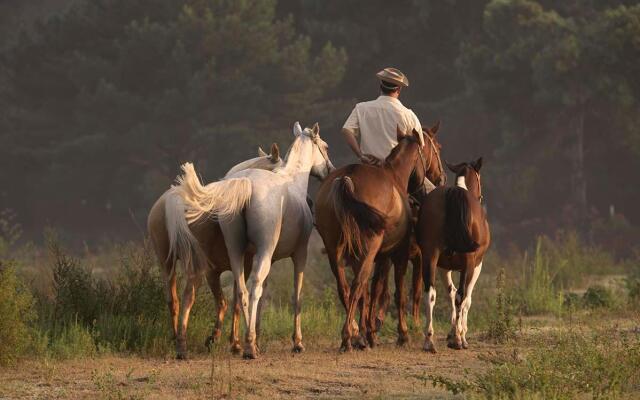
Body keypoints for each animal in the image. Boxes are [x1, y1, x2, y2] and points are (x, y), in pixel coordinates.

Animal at [149, 144, 282, 360]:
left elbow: (224, 302)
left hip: (166, 264)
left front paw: (216, 339)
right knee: (188, 297)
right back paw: (182, 348)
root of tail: (174, 201)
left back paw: (175, 338)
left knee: (173, 299)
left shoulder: (215, 271)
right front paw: (234, 344)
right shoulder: (237, 266)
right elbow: (235, 301)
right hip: (195, 267)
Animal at [175, 122, 336, 360]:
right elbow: (296, 295)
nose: (330, 170)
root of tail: (246, 184)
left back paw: (242, 343)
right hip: (262, 253)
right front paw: (297, 342)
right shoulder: (299, 254)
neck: (292, 180)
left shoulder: (265, 258)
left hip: (235, 253)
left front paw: (257, 336)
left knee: (240, 291)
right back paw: (249, 346)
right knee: (253, 289)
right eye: (325, 146)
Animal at [418, 158, 492, 352]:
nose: (481, 197)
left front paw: (453, 331)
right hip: (468, 262)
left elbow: (449, 294)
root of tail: (453, 193)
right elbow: (466, 299)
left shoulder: (443, 267)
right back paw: (458, 341)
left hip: (430, 257)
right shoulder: (476, 266)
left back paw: (429, 340)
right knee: (461, 296)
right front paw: (460, 334)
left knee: (430, 294)